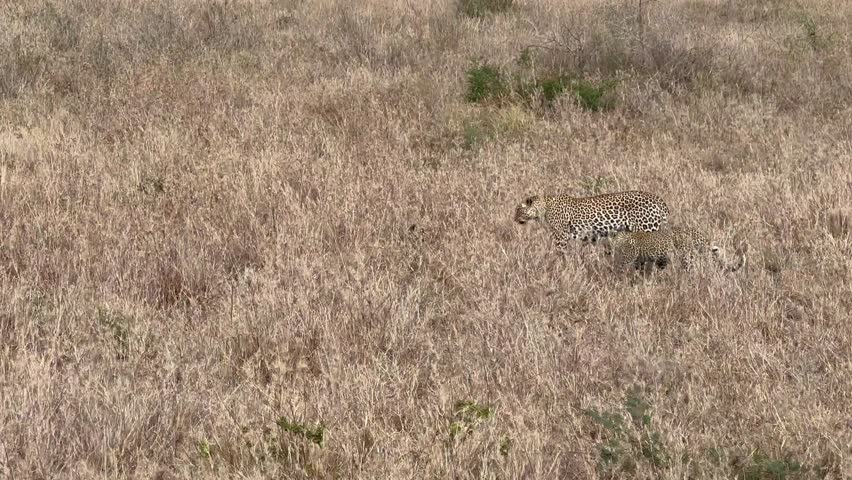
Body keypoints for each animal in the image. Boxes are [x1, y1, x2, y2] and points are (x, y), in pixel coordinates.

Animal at [514, 190, 669, 252]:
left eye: (518, 210)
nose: (514, 219)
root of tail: (660, 200)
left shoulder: (561, 237)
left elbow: (560, 254)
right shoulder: (589, 237)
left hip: (647, 230)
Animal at [607, 225, 745, 273]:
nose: (608, 249)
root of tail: (698, 233)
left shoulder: (628, 258)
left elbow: (621, 268)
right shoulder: (639, 260)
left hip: (686, 256)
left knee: (689, 270)